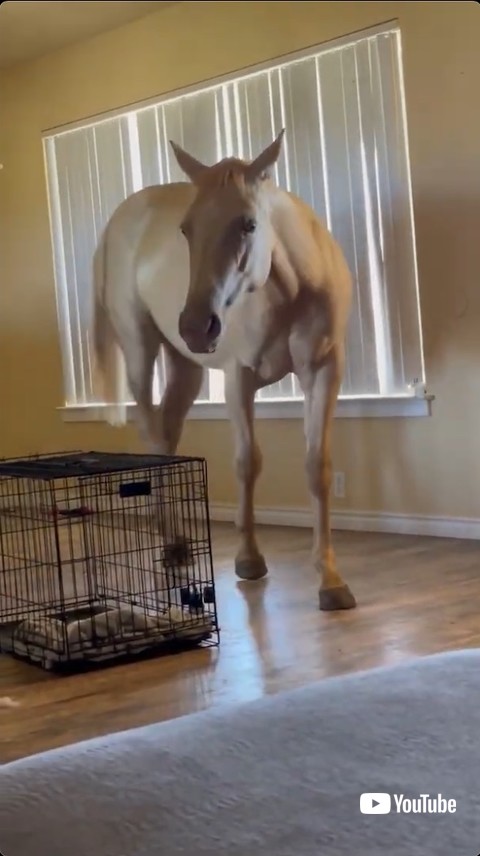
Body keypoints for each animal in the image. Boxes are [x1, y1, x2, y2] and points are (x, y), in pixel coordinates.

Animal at [91, 129, 356, 612]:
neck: (290, 288)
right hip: (141, 350)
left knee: (168, 433)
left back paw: (174, 539)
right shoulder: (239, 377)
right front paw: (249, 559)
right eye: (186, 229)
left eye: (248, 224)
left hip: (186, 366)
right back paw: (173, 542)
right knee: (153, 434)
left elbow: (318, 467)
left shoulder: (324, 370)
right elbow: (247, 463)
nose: (197, 326)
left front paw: (330, 579)